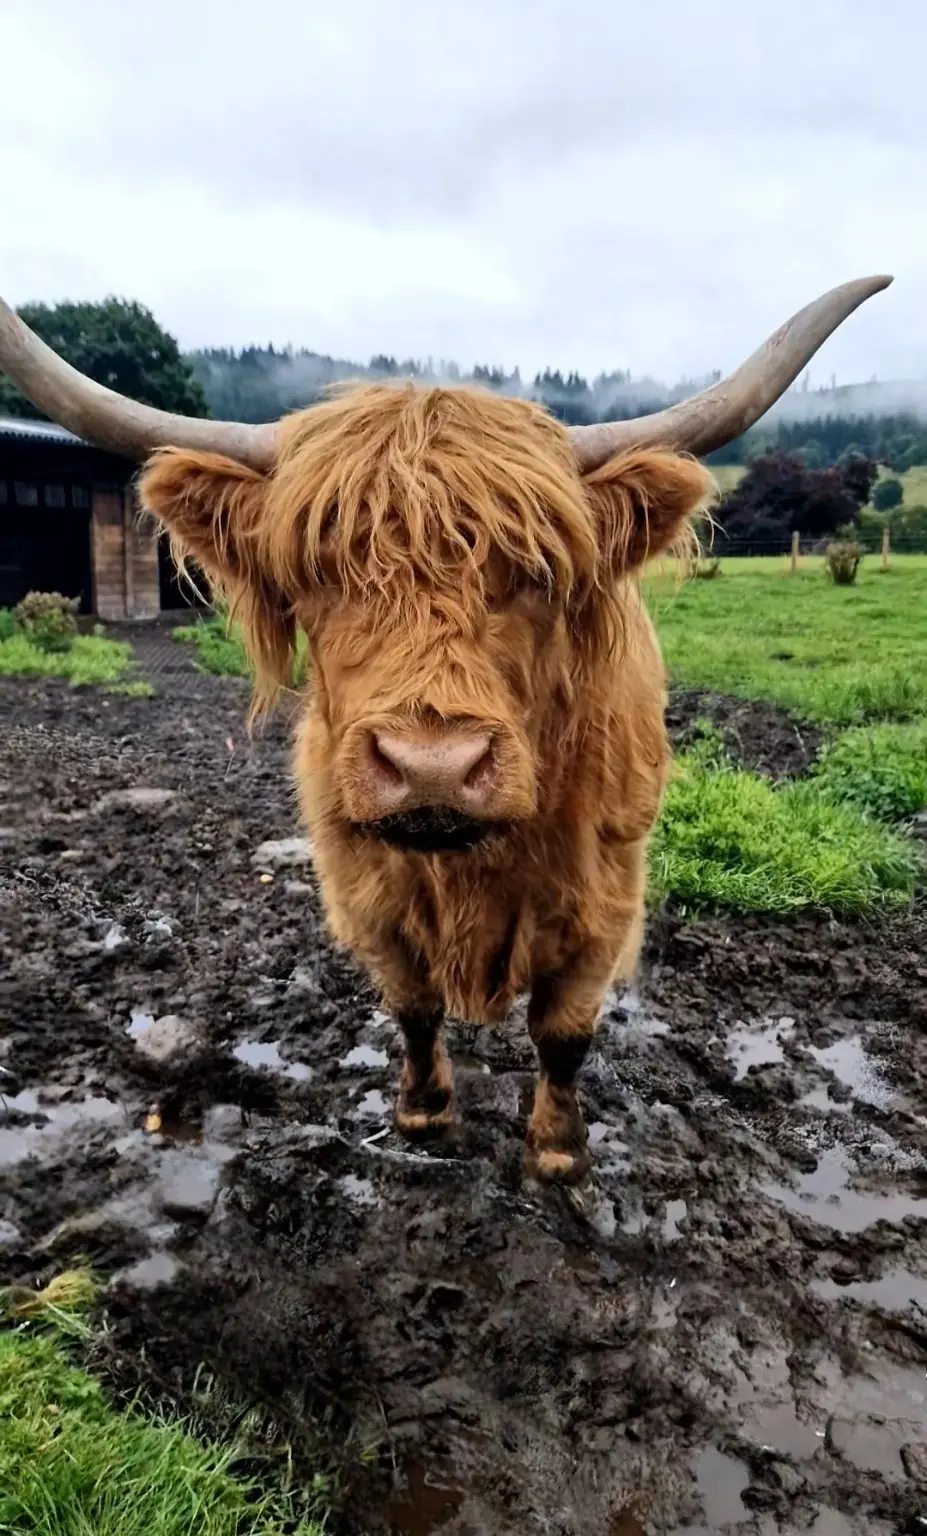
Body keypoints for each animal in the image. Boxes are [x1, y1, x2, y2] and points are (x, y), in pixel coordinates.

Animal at [0, 275, 892, 1184]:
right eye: (318, 572)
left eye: (537, 573)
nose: (431, 766)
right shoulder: (365, 889)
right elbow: (413, 1005)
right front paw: (423, 1112)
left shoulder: (604, 901)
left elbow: (562, 1032)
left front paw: (558, 1152)